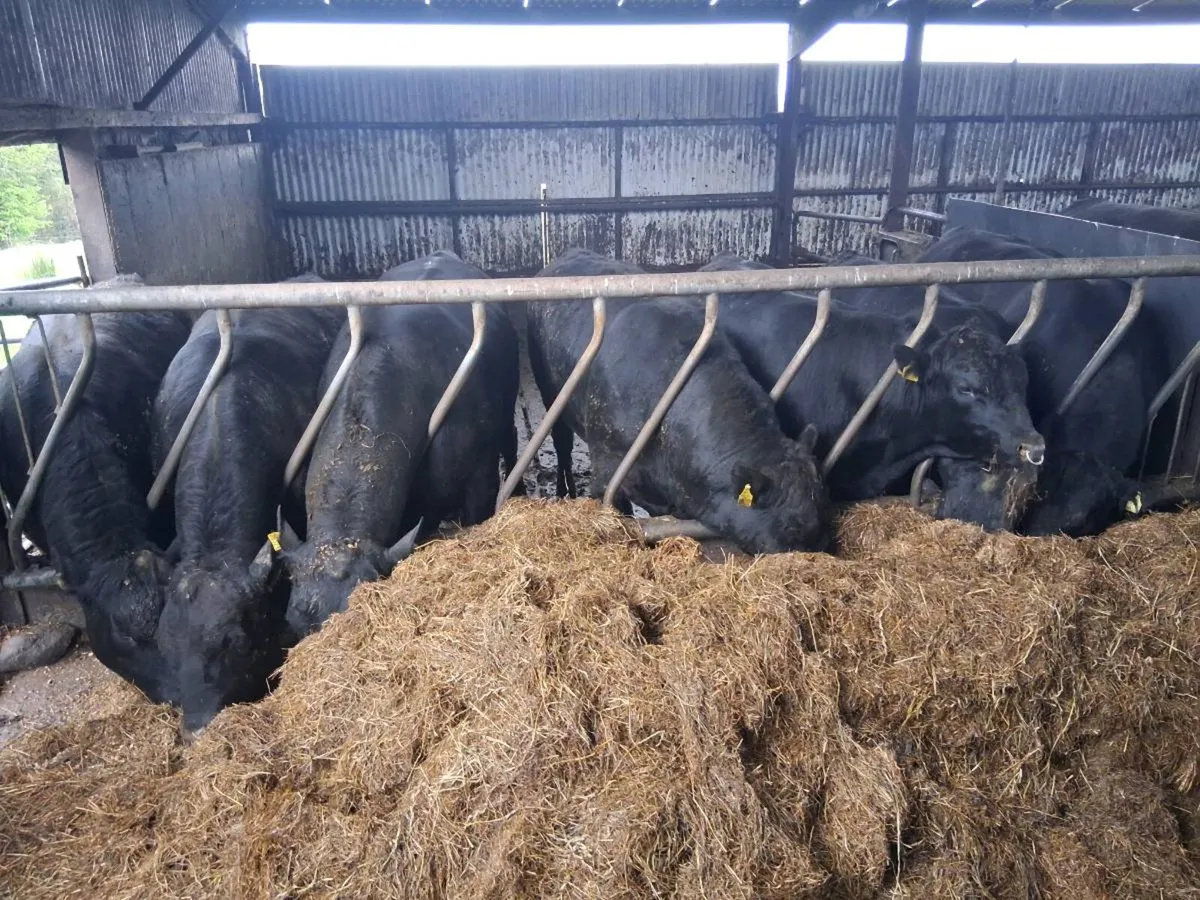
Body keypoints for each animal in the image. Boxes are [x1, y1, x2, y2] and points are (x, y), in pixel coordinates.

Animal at [527, 248, 833, 554]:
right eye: (790, 530)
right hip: (551, 394)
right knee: (562, 445)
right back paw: (564, 490)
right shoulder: (606, 470)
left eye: (821, 516)